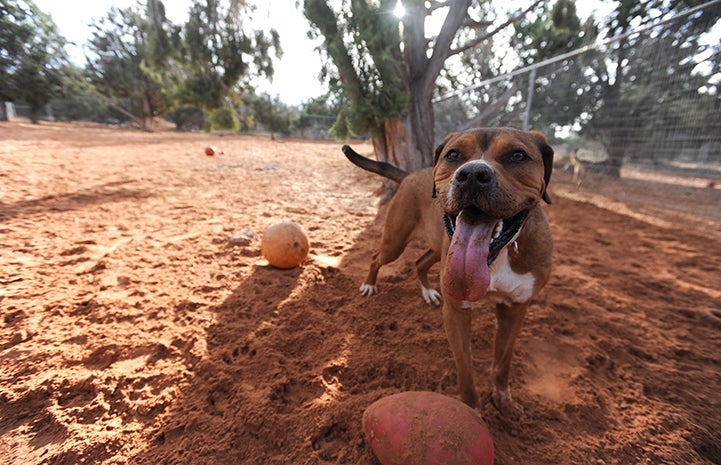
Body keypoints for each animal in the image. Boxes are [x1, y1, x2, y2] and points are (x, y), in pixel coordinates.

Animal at [344, 127, 552, 414]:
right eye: (453, 155)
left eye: (518, 155)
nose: (473, 174)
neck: (498, 255)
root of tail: (410, 174)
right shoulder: (456, 311)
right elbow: (465, 368)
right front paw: (473, 411)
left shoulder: (516, 309)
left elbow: (503, 363)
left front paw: (505, 403)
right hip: (395, 242)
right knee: (377, 257)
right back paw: (370, 284)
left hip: (438, 249)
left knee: (419, 263)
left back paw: (428, 292)